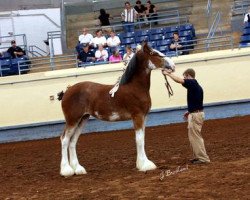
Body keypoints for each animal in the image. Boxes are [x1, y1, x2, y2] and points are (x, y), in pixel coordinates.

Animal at [58, 42, 176, 177]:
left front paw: (142, 163)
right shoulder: (137, 116)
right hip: (72, 120)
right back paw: (66, 170)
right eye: (153, 53)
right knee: (64, 140)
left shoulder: (144, 117)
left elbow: (142, 138)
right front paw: (144, 165)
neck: (135, 87)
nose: (172, 65)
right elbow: (139, 139)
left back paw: (78, 169)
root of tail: (67, 91)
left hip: (82, 119)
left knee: (72, 141)